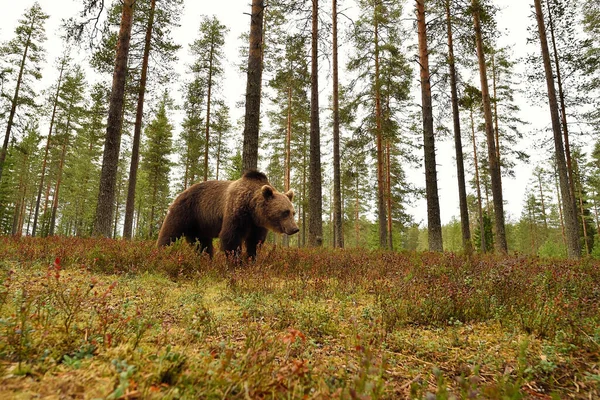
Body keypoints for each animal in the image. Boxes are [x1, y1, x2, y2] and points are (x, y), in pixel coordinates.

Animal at [156, 170, 298, 260]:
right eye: (284, 212)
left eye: (293, 212)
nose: (295, 229)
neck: (252, 209)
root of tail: (182, 192)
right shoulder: (236, 212)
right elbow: (231, 239)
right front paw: (236, 263)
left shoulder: (257, 225)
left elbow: (255, 242)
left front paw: (251, 259)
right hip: (187, 211)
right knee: (170, 232)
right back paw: (161, 253)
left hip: (200, 225)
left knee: (202, 244)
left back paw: (206, 259)